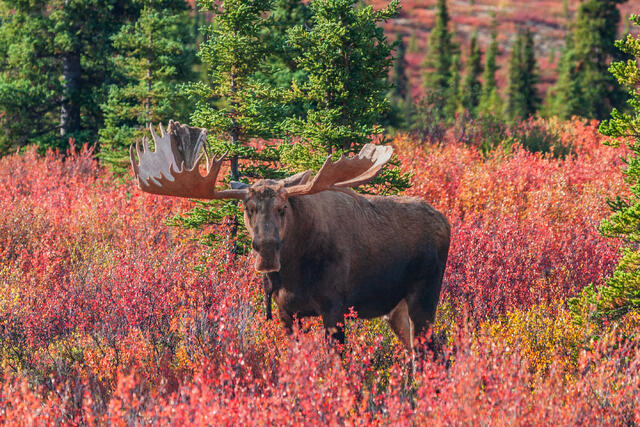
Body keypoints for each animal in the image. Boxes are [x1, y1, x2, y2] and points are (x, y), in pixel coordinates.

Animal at [130, 121, 451, 360]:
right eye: (248, 209)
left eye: (283, 208)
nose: (266, 251)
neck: (294, 273)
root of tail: (446, 222)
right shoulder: (286, 313)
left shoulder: (335, 306)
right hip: (396, 309)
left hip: (424, 296)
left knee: (430, 354)